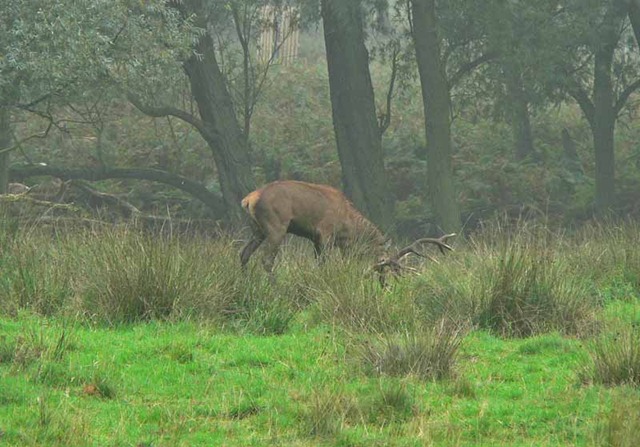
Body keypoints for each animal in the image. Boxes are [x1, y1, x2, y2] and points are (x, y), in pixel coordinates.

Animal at [239, 180, 456, 285]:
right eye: (382, 264)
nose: (384, 284)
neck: (348, 227)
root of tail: (248, 200)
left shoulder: (321, 240)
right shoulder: (324, 233)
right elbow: (324, 264)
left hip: (257, 230)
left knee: (244, 254)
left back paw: (245, 283)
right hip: (276, 227)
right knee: (266, 259)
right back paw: (274, 286)